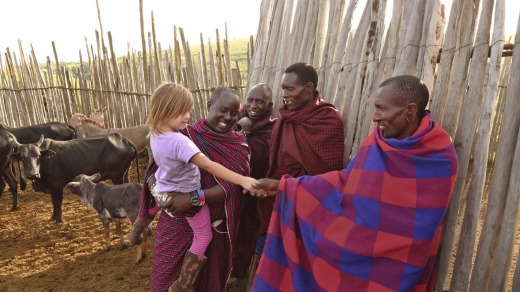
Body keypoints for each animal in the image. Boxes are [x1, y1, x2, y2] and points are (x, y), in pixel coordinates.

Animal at [9, 133, 139, 222]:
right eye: (23, 157)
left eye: (38, 156)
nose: (33, 174)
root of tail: (124, 140)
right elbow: (53, 202)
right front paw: (53, 217)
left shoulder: (57, 186)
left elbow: (57, 202)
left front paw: (58, 220)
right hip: (125, 174)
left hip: (117, 176)